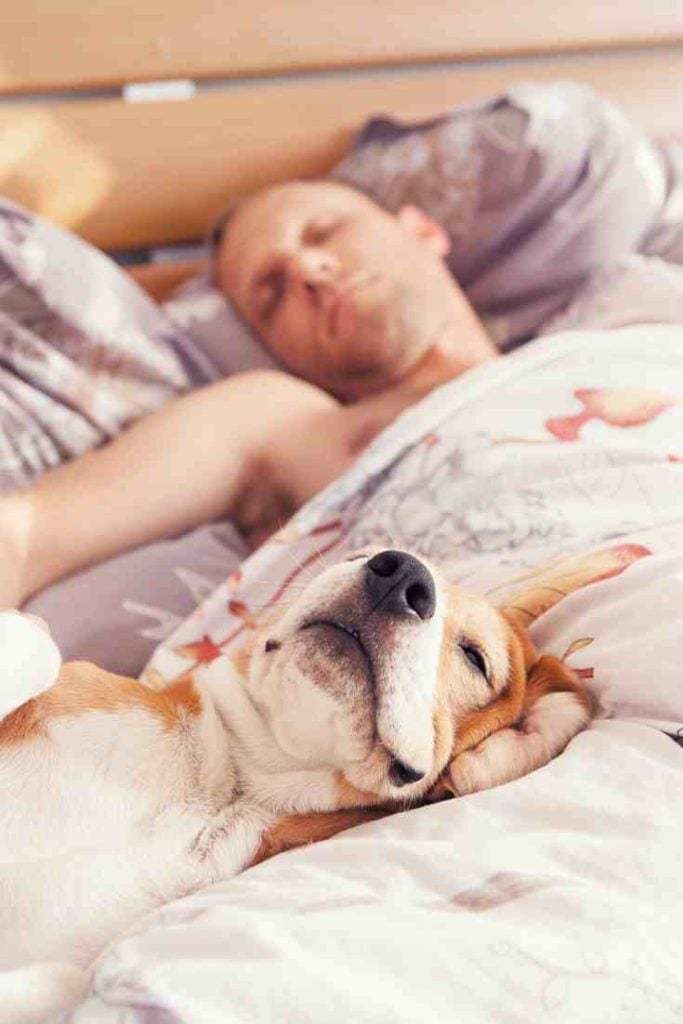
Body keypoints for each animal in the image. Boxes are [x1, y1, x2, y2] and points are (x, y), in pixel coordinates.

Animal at [0, 552, 589, 1024]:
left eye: (474, 657)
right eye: (357, 552)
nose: (400, 572)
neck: (221, 783)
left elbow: (65, 980)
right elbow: (37, 640)